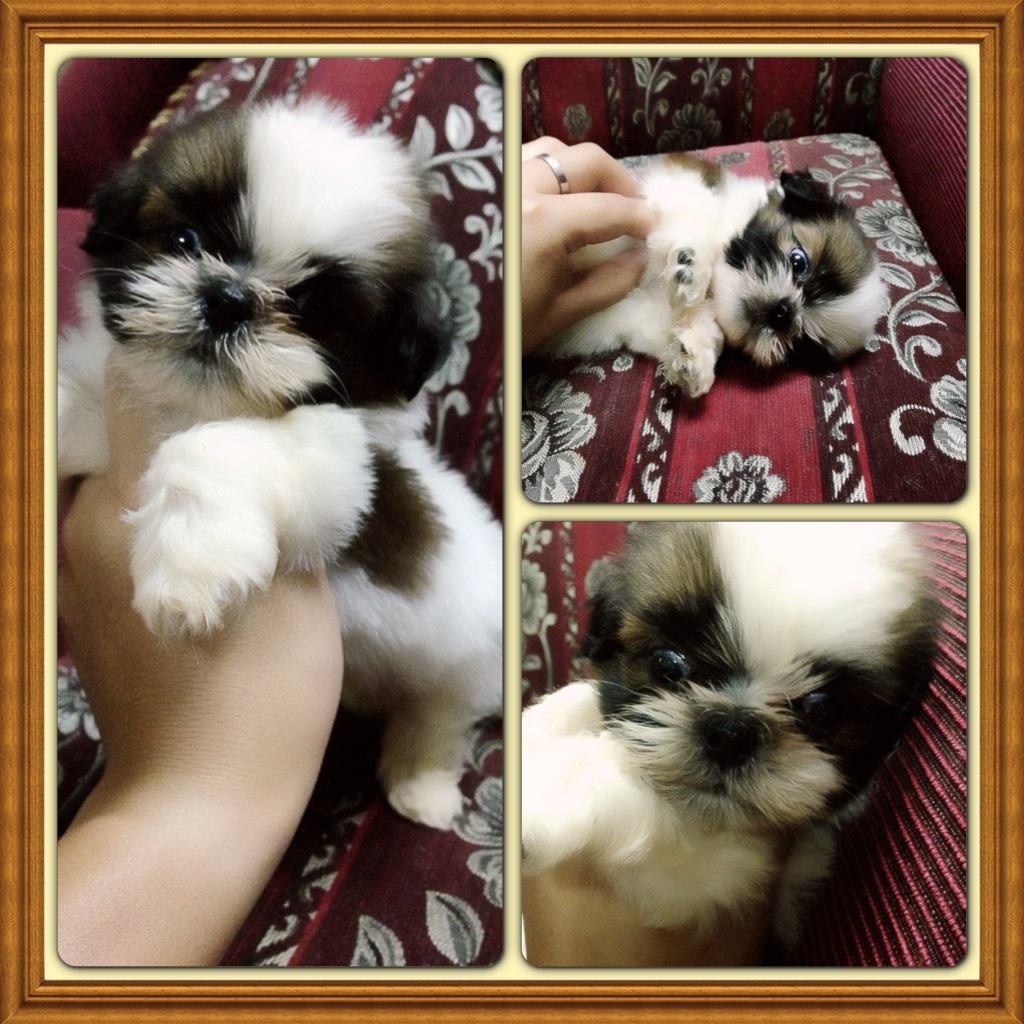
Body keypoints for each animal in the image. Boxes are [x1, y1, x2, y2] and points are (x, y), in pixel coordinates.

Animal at [57, 97, 503, 831]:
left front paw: (189, 564)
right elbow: (74, 405)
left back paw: (421, 783)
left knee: (438, 713)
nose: (228, 298)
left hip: (461, 662)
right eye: (184, 241)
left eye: (313, 308)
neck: (188, 403)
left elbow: (213, 448)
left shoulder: (347, 468)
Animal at [521, 522, 937, 965]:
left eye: (823, 710)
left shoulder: (721, 872)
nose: (731, 735)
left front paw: (549, 790)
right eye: (667, 665)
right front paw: (540, 725)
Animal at [537, 154, 889, 398]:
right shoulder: (676, 181)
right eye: (798, 261)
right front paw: (692, 264)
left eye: (805, 343)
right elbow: (696, 210)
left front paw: (696, 356)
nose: (783, 311)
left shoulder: (636, 316)